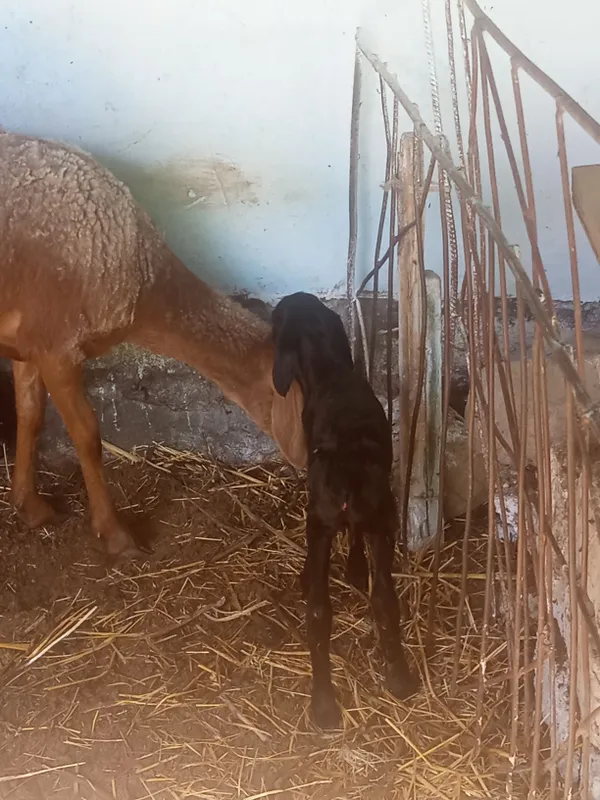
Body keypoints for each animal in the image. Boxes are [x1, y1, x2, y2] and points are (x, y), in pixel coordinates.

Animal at [0, 131, 307, 559]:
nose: (310, 463)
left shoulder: (29, 340)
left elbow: (29, 416)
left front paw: (29, 506)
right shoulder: (57, 346)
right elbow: (87, 435)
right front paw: (115, 535)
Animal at [271, 291, 419, 729]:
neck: (329, 368)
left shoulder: (321, 518)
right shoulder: (366, 521)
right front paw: (354, 569)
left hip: (322, 523)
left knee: (319, 611)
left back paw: (323, 704)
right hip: (383, 520)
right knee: (385, 600)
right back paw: (399, 678)